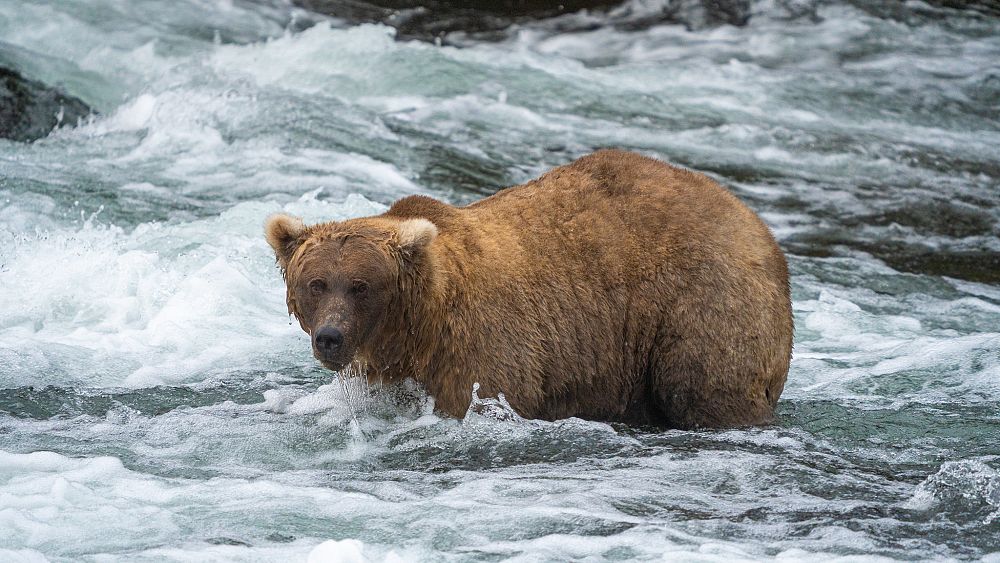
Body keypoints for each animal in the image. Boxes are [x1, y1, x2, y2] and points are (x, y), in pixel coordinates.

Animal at [268, 150, 796, 428]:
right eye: (316, 284)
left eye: (361, 285)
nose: (330, 337)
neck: (418, 329)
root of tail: (756, 223)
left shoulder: (482, 348)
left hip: (703, 303)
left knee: (703, 386)